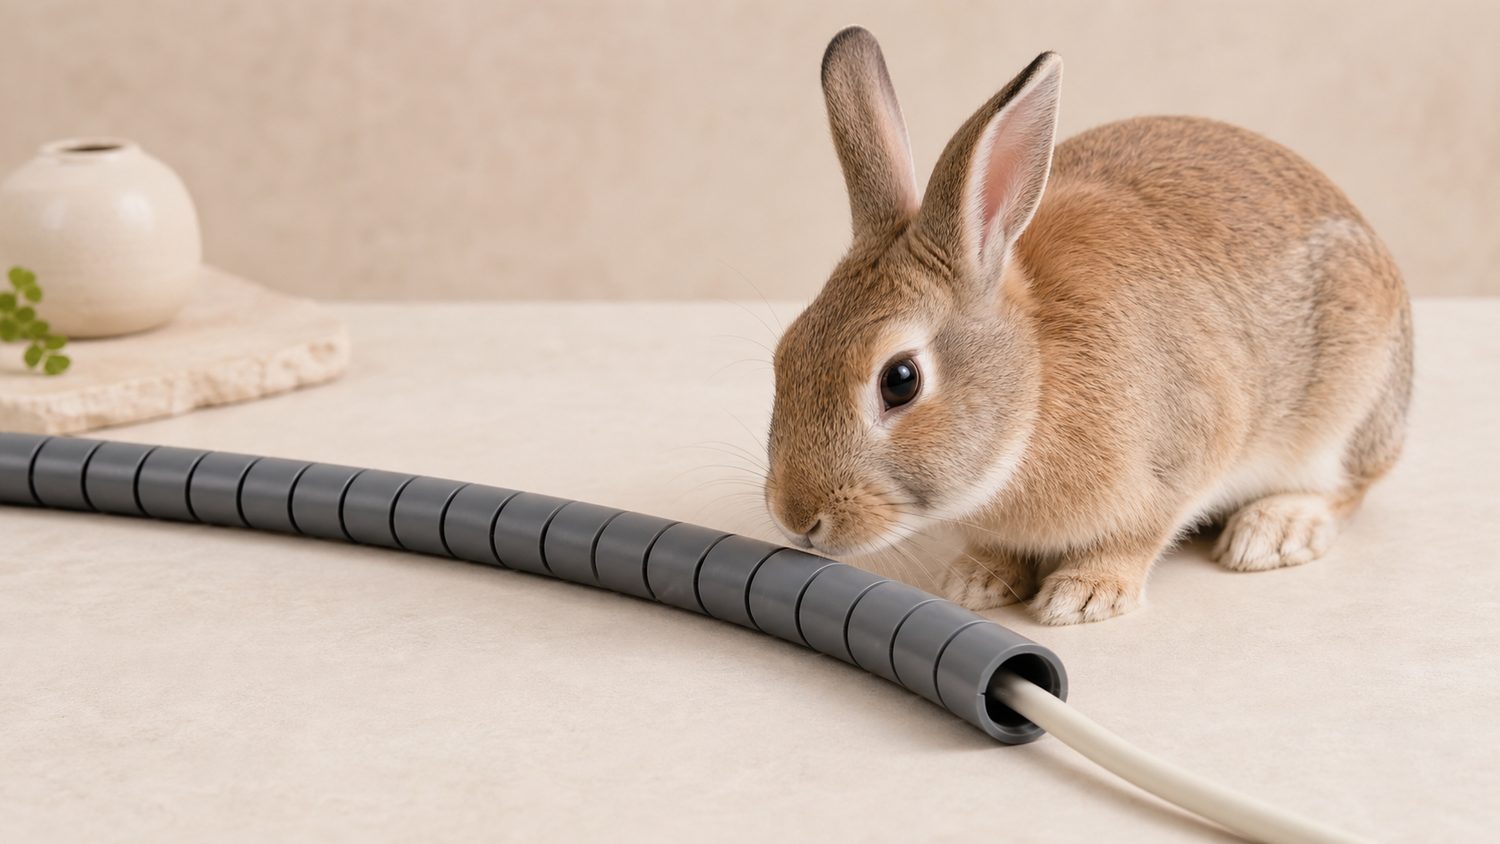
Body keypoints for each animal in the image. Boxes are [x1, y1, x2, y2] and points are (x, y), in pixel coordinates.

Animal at [762, 27, 1412, 625]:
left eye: (900, 380)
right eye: (785, 354)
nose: (796, 518)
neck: (1034, 386)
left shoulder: (1185, 453)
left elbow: (1137, 536)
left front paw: (1083, 595)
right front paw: (977, 580)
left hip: (1348, 408)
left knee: (1347, 486)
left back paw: (1273, 530)